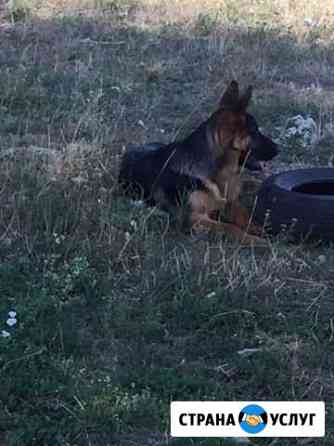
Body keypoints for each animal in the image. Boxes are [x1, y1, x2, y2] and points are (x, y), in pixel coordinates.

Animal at [118, 80, 278, 244]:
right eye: (255, 132)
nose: (278, 149)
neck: (214, 172)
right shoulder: (195, 219)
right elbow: (230, 227)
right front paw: (257, 240)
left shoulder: (230, 203)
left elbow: (245, 218)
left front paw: (260, 230)